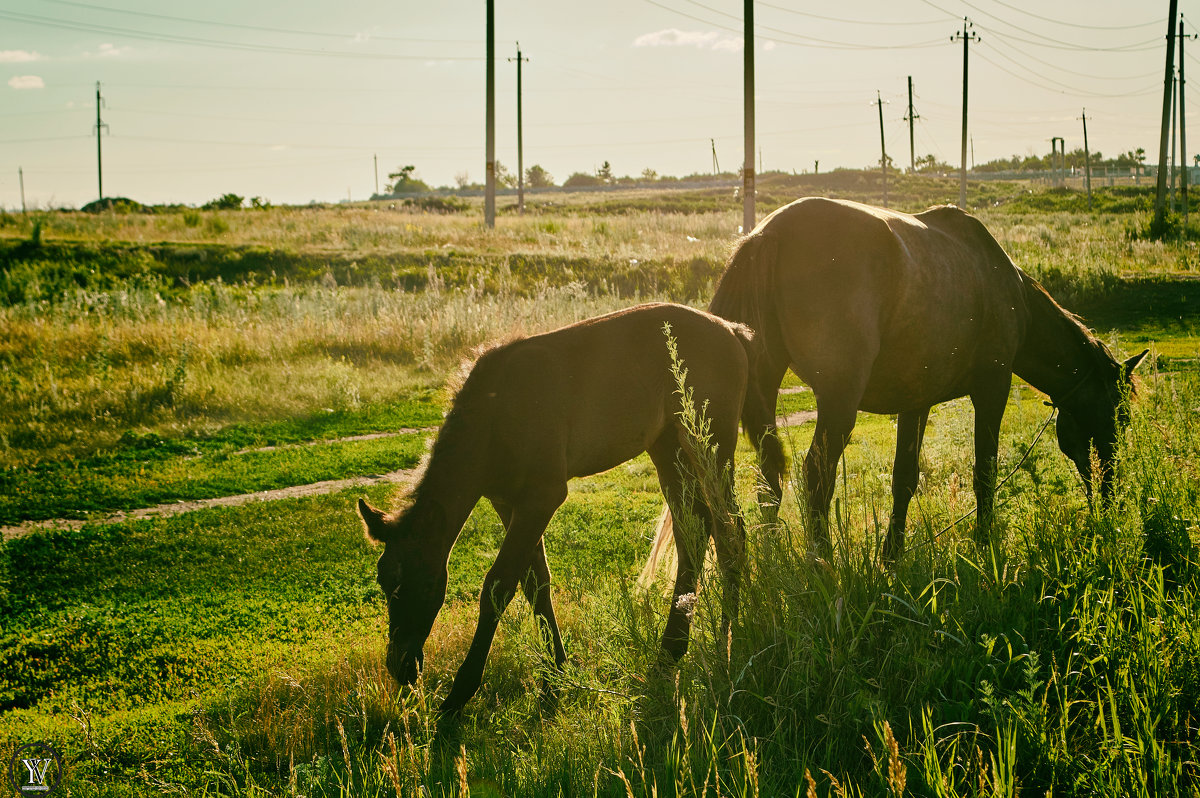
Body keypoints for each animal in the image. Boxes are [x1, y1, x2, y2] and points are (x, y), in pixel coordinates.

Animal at [355, 302, 753, 710]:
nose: (401, 666)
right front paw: (556, 678)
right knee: (695, 532)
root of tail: (731, 330)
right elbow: (536, 584)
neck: (495, 414)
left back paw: (729, 640)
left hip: (709, 445)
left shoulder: (542, 498)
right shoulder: (508, 502)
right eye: (384, 581)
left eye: (421, 582)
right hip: (667, 448)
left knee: (730, 530)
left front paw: (459, 694)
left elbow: (498, 586)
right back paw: (669, 656)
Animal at [705, 198, 1147, 559]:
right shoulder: (993, 388)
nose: (1110, 497)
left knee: (768, 477)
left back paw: (773, 562)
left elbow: (904, 478)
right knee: (816, 475)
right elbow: (984, 469)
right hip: (838, 402)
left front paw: (892, 555)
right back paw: (822, 562)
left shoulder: (915, 402)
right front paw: (985, 544)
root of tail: (771, 234)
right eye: (1119, 415)